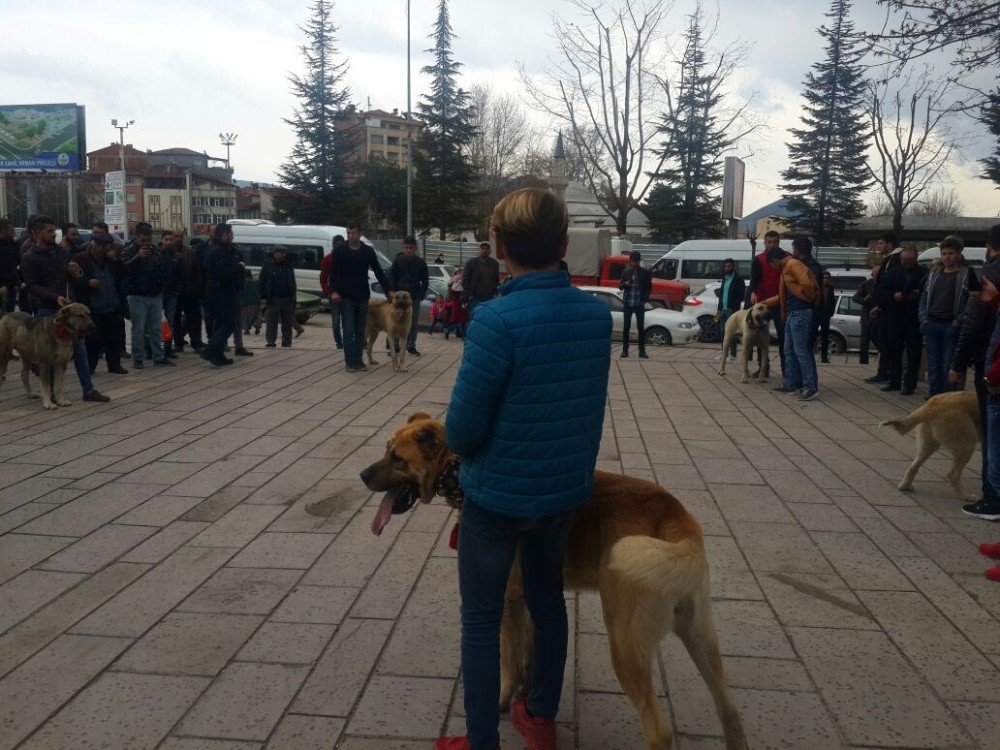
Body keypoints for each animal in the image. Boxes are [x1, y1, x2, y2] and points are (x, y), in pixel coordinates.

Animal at [360, 414, 744, 748]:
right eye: (385, 449)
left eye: (396, 458)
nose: (362, 474)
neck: (458, 470)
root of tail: (677, 519)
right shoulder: (532, 598)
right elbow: (532, 653)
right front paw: (530, 700)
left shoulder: (506, 602)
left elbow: (510, 663)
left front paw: (503, 702)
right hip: (700, 637)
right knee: (730, 710)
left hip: (625, 645)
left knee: (659, 732)